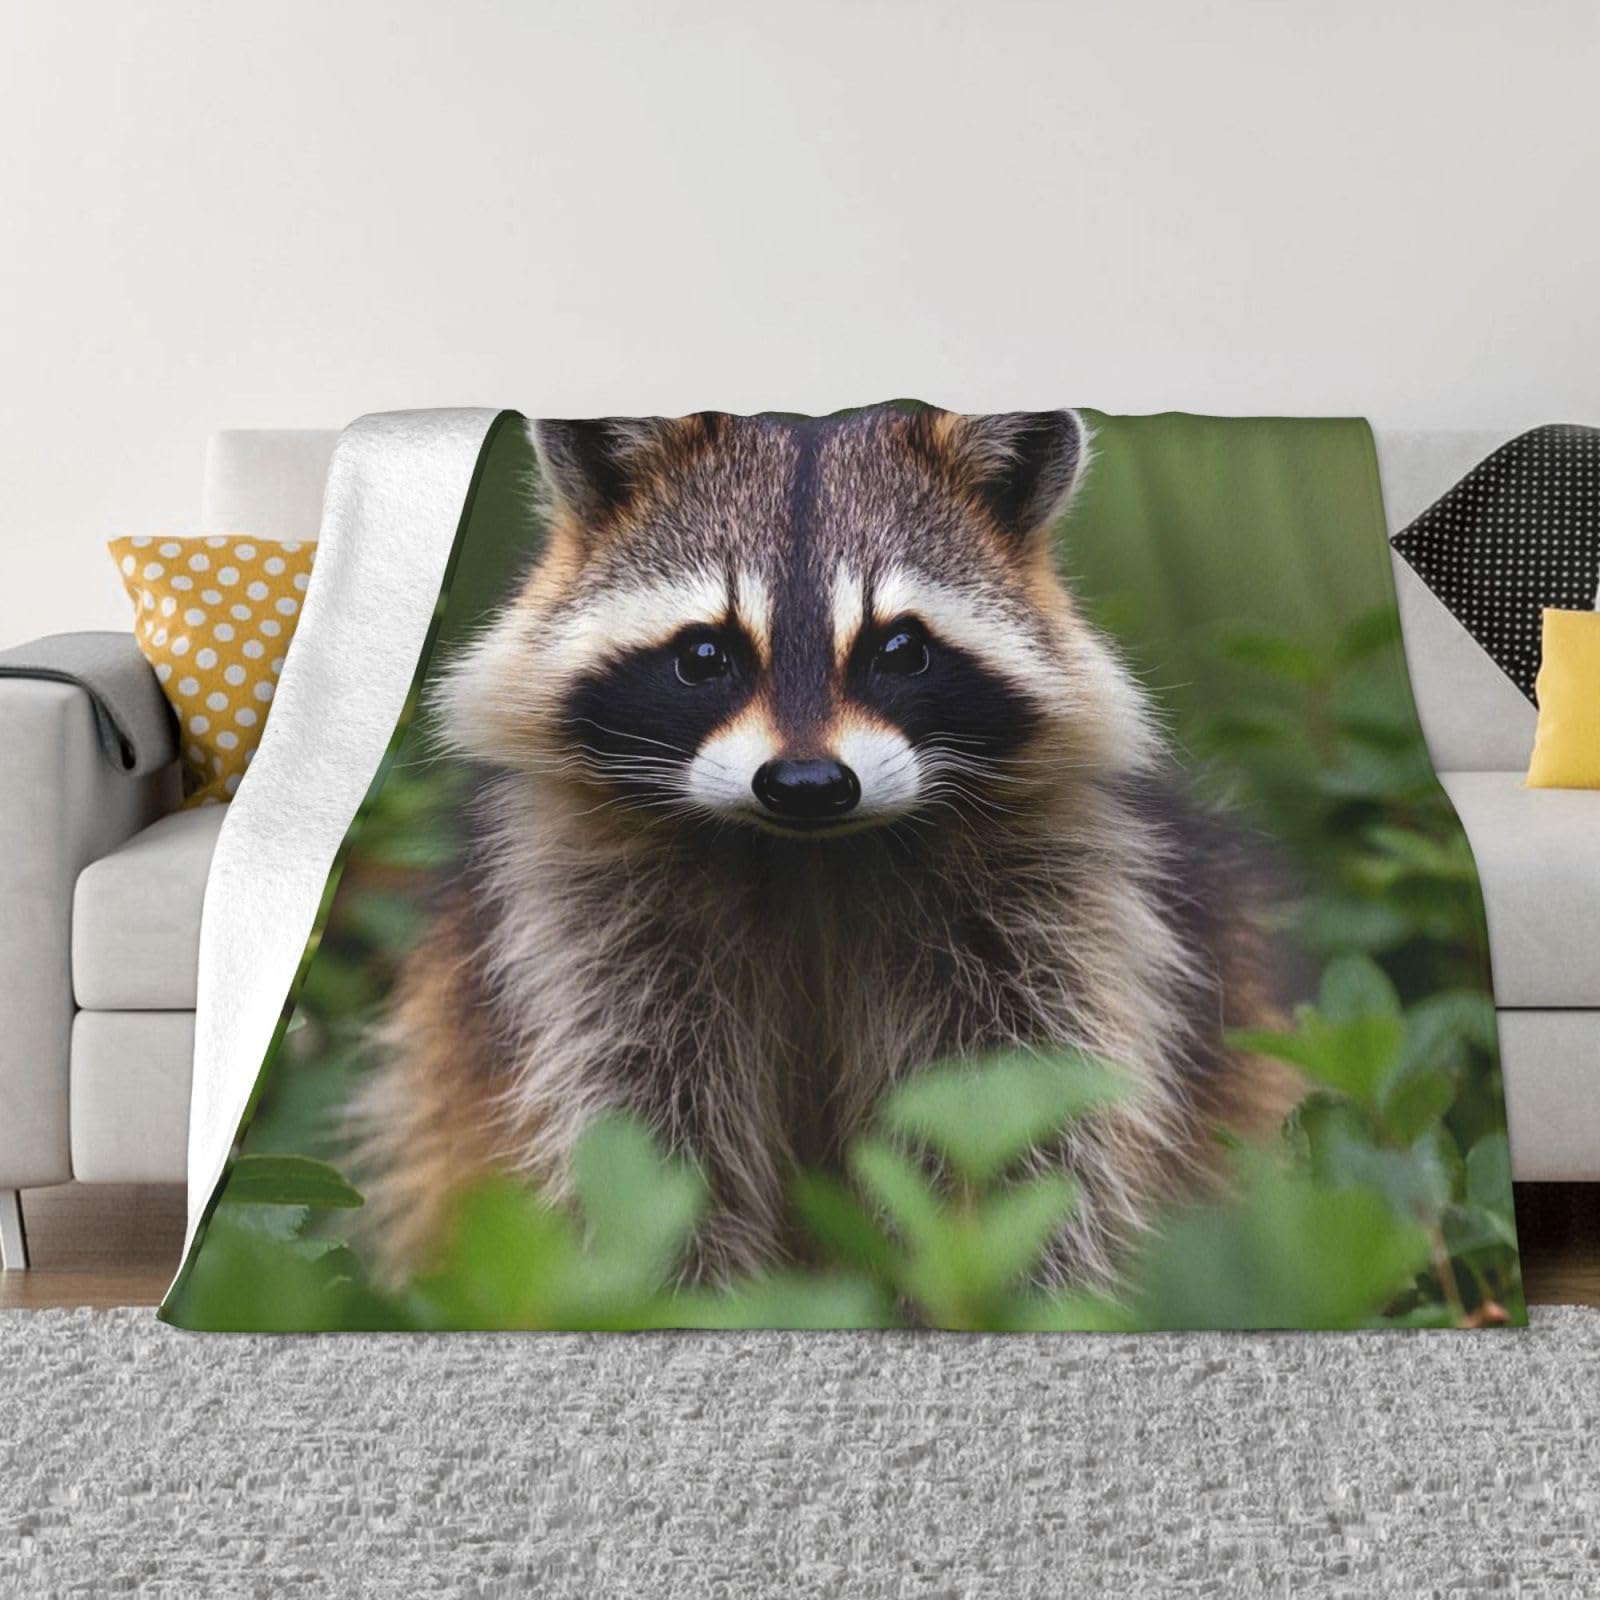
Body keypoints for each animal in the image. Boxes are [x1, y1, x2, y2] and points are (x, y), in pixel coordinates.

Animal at [353, 404, 1300, 1291]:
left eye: (901, 650)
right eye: (706, 655)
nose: (805, 784)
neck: (804, 854)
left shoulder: (1051, 912)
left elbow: (1024, 1131)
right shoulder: (588, 927)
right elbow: (641, 1140)